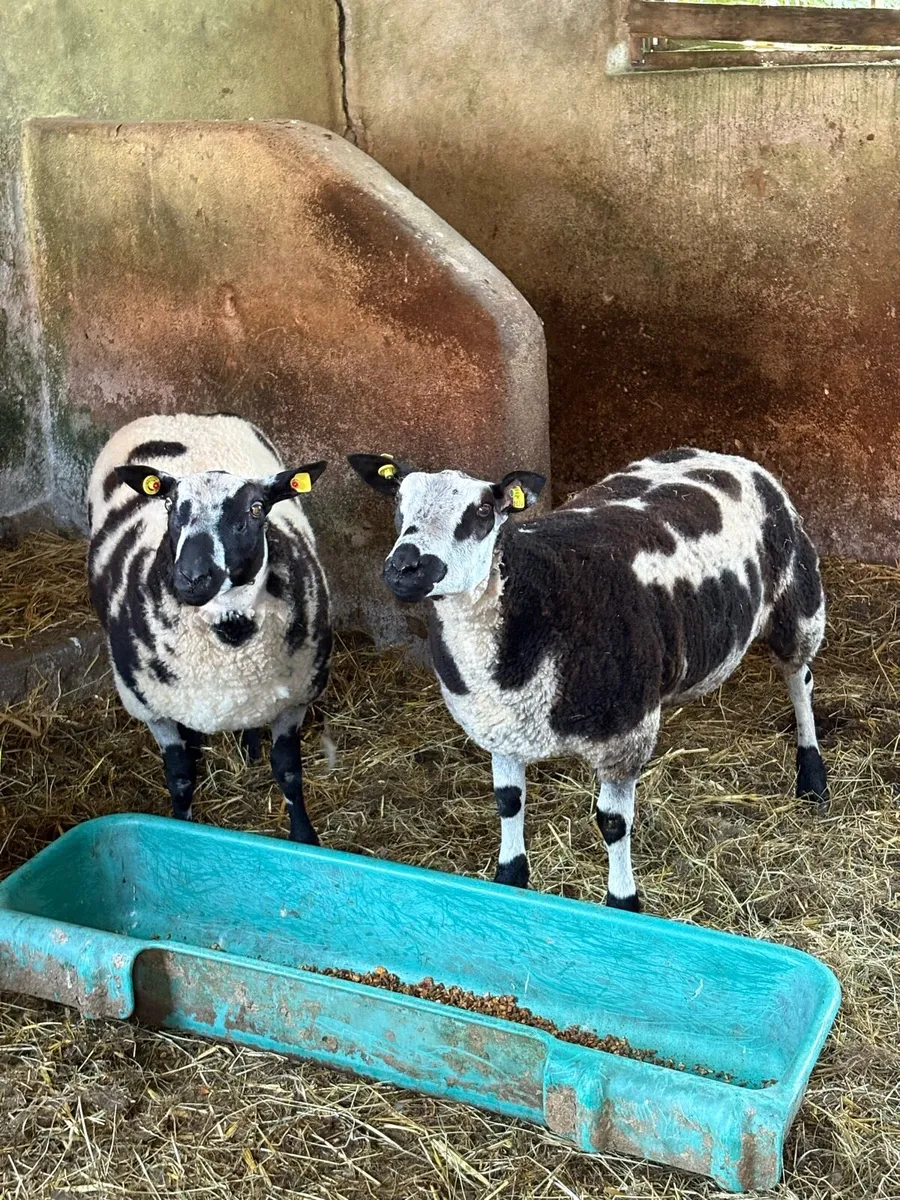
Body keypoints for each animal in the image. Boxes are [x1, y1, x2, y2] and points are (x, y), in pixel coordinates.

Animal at [87, 412, 331, 843]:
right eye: (170, 505)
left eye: (256, 508)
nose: (191, 577)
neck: (231, 635)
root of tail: (183, 416)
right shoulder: (151, 706)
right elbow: (180, 776)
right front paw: (179, 828)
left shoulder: (296, 697)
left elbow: (288, 771)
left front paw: (304, 836)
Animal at [348, 447, 828, 909]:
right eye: (398, 500)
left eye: (483, 511)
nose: (405, 567)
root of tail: (728, 458)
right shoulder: (499, 726)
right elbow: (508, 801)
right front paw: (510, 877)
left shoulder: (624, 736)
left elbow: (613, 824)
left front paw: (623, 902)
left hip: (798, 599)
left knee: (799, 681)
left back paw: (813, 778)